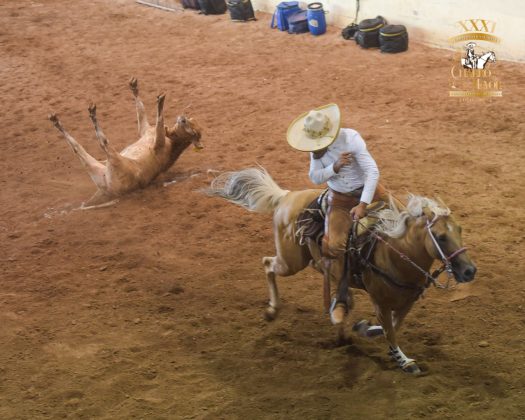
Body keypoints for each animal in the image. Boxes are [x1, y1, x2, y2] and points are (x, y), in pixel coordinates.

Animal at [49, 77, 202, 207]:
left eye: (194, 133)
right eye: (190, 120)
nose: (182, 118)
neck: (172, 140)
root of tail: (110, 191)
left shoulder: (159, 143)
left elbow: (159, 120)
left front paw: (160, 103)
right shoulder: (145, 130)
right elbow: (141, 111)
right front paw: (134, 88)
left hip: (113, 160)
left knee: (101, 143)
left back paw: (92, 115)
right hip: (98, 167)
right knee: (77, 148)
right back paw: (57, 121)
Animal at [207, 167, 476, 374]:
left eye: (460, 229)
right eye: (440, 237)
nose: (469, 271)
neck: (396, 253)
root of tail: (286, 197)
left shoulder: (407, 301)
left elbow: (392, 326)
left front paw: (366, 328)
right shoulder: (380, 301)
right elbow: (390, 331)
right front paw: (404, 360)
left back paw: (341, 310)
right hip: (290, 261)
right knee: (267, 264)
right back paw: (273, 310)